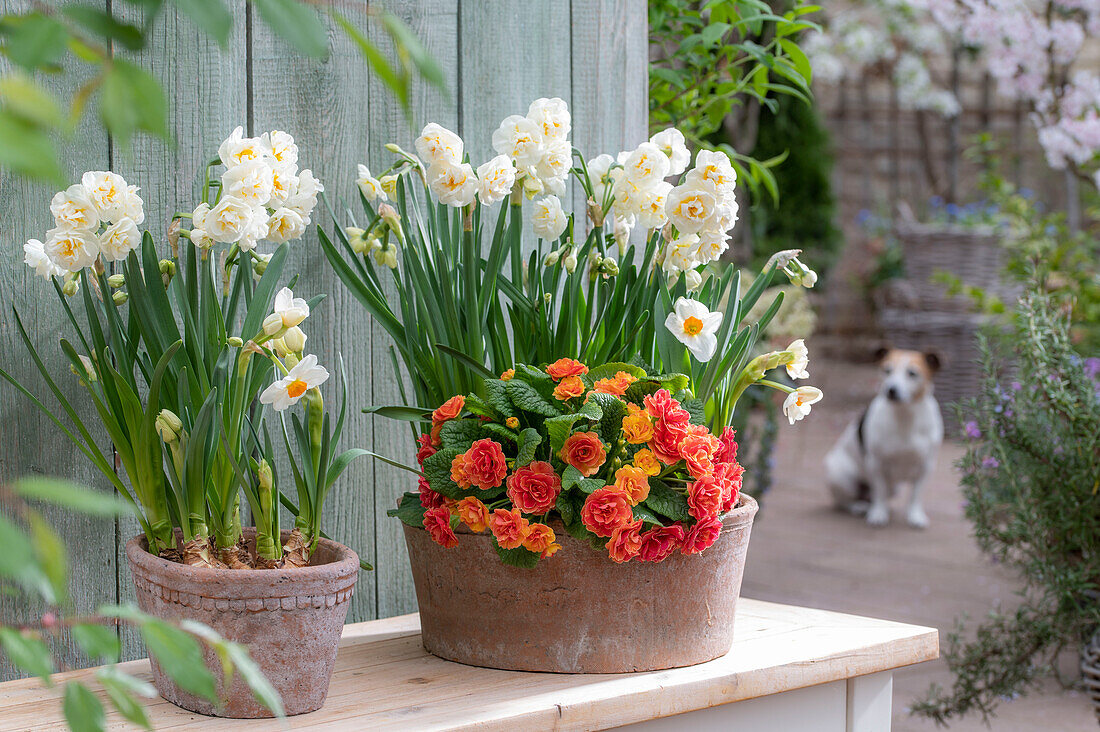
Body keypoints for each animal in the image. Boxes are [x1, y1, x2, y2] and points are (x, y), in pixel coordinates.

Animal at [827, 347, 946, 526]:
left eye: (912, 373)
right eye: (887, 370)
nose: (891, 389)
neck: (905, 416)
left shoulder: (926, 466)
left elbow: (915, 495)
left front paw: (915, 515)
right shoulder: (876, 464)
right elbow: (880, 491)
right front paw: (878, 514)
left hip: (894, 488)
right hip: (840, 476)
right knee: (845, 501)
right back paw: (859, 506)